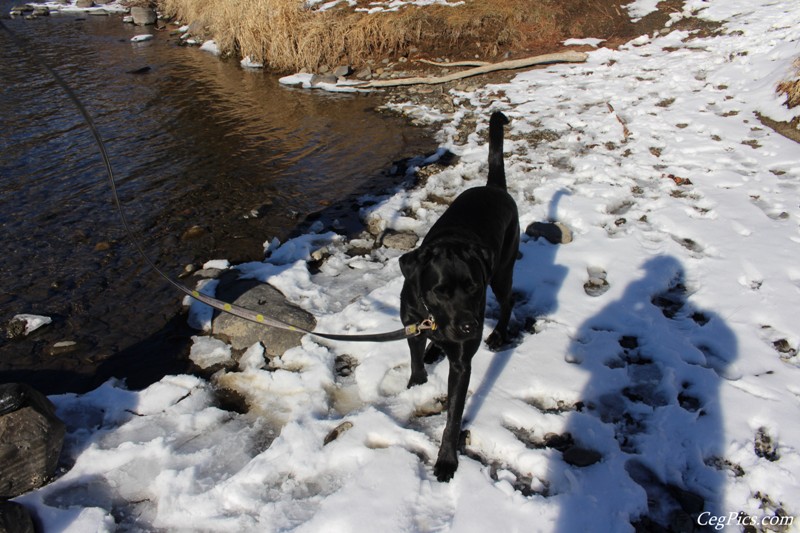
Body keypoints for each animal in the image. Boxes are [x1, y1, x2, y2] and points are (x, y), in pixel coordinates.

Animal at [398, 112, 520, 482]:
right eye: (440, 291)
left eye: (473, 287)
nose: (469, 328)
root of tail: (495, 188)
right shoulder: (411, 322)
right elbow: (414, 357)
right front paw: (417, 381)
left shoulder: (463, 363)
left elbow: (453, 417)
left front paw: (447, 460)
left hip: (503, 270)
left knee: (509, 301)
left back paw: (498, 335)